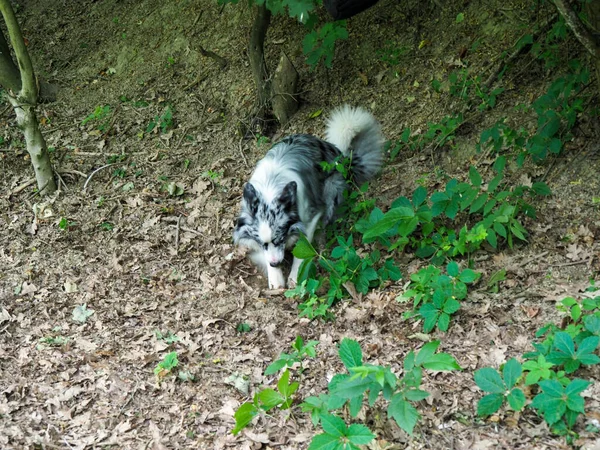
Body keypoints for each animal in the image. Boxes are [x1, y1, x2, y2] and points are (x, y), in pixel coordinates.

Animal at [232, 105, 382, 288]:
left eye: (279, 239)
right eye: (262, 243)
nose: (275, 264)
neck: (270, 188)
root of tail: (344, 158)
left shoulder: (310, 217)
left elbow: (302, 249)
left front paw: (294, 277)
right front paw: (275, 279)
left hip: (332, 186)